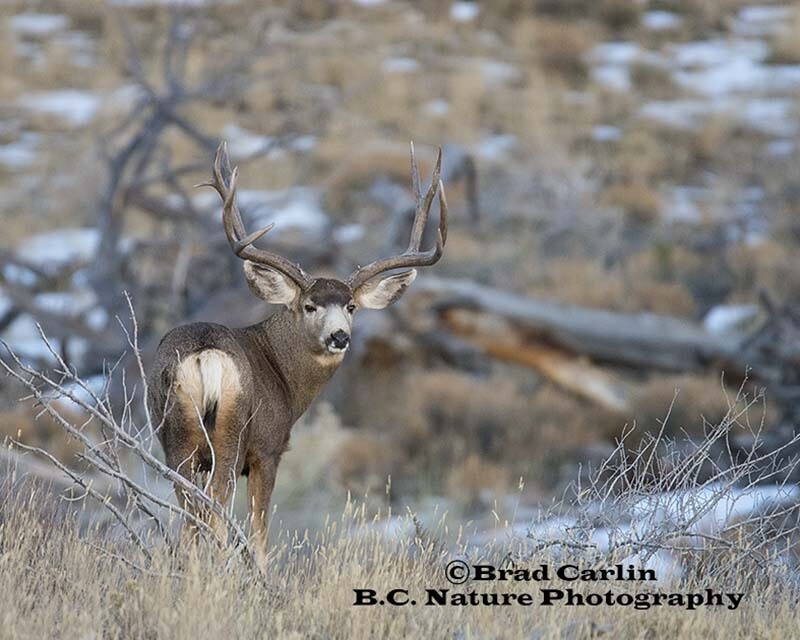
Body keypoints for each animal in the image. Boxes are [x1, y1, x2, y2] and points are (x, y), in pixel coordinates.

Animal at [147, 141, 447, 567]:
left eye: (351, 306)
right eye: (309, 305)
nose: (340, 336)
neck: (284, 376)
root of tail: (206, 354)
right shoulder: (269, 448)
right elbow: (258, 534)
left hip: (176, 437)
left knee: (191, 516)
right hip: (231, 434)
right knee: (217, 511)